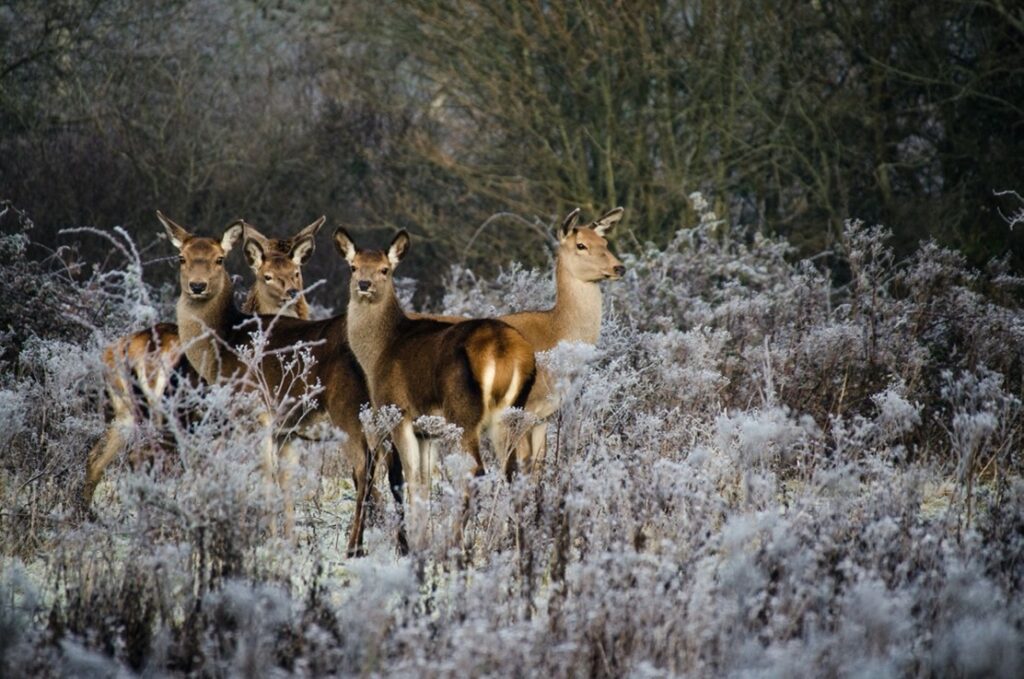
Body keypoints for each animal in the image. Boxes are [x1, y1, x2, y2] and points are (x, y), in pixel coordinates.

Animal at [81, 219, 324, 511]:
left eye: (297, 271)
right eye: (265, 275)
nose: (292, 294)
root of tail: (111, 352)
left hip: (125, 411)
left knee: (97, 458)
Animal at [333, 228, 536, 549]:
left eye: (385, 269)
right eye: (353, 267)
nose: (364, 284)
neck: (377, 354)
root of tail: (506, 352)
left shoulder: (398, 412)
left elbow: (404, 478)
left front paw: (412, 545)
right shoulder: (427, 432)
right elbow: (423, 483)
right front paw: (421, 539)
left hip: (462, 413)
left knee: (475, 471)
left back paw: (454, 542)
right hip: (510, 415)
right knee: (515, 474)